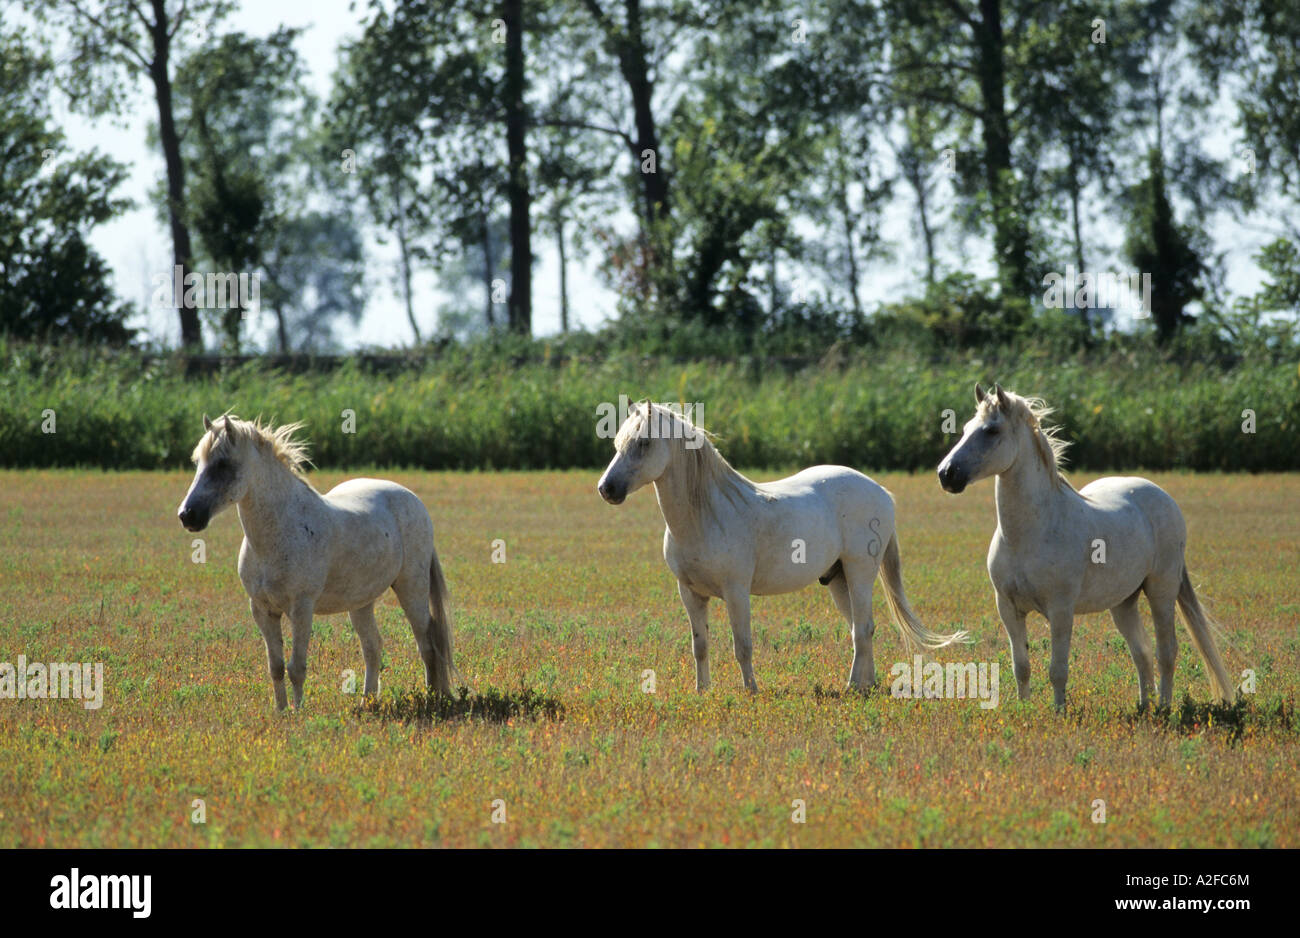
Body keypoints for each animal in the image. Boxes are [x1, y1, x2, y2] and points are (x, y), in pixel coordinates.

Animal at [175, 413, 454, 706]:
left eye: (222, 464)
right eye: (197, 463)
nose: (187, 515)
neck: (279, 532)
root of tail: (413, 499)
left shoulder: (301, 608)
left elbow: (296, 668)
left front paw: (298, 712)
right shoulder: (262, 610)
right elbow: (275, 668)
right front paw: (281, 711)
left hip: (411, 588)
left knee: (427, 643)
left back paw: (433, 698)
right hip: (361, 602)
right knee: (373, 647)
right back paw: (367, 703)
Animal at [598, 397, 967, 691]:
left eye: (644, 442)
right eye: (617, 442)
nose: (606, 489)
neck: (706, 514)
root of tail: (882, 492)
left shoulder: (736, 591)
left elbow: (742, 646)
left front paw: (751, 691)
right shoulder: (690, 593)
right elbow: (699, 646)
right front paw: (702, 692)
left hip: (860, 572)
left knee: (862, 629)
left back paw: (852, 687)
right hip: (838, 579)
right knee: (860, 630)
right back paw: (868, 684)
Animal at [941, 384, 1232, 706]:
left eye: (991, 430)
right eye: (966, 428)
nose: (947, 474)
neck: (1027, 534)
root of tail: (1162, 495)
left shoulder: (1060, 610)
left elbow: (1057, 670)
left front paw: (1059, 711)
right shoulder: (1008, 608)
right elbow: (1022, 667)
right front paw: (1024, 709)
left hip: (1161, 591)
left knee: (1165, 651)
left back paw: (1163, 707)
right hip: (1123, 602)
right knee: (1141, 652)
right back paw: (1144, 707)